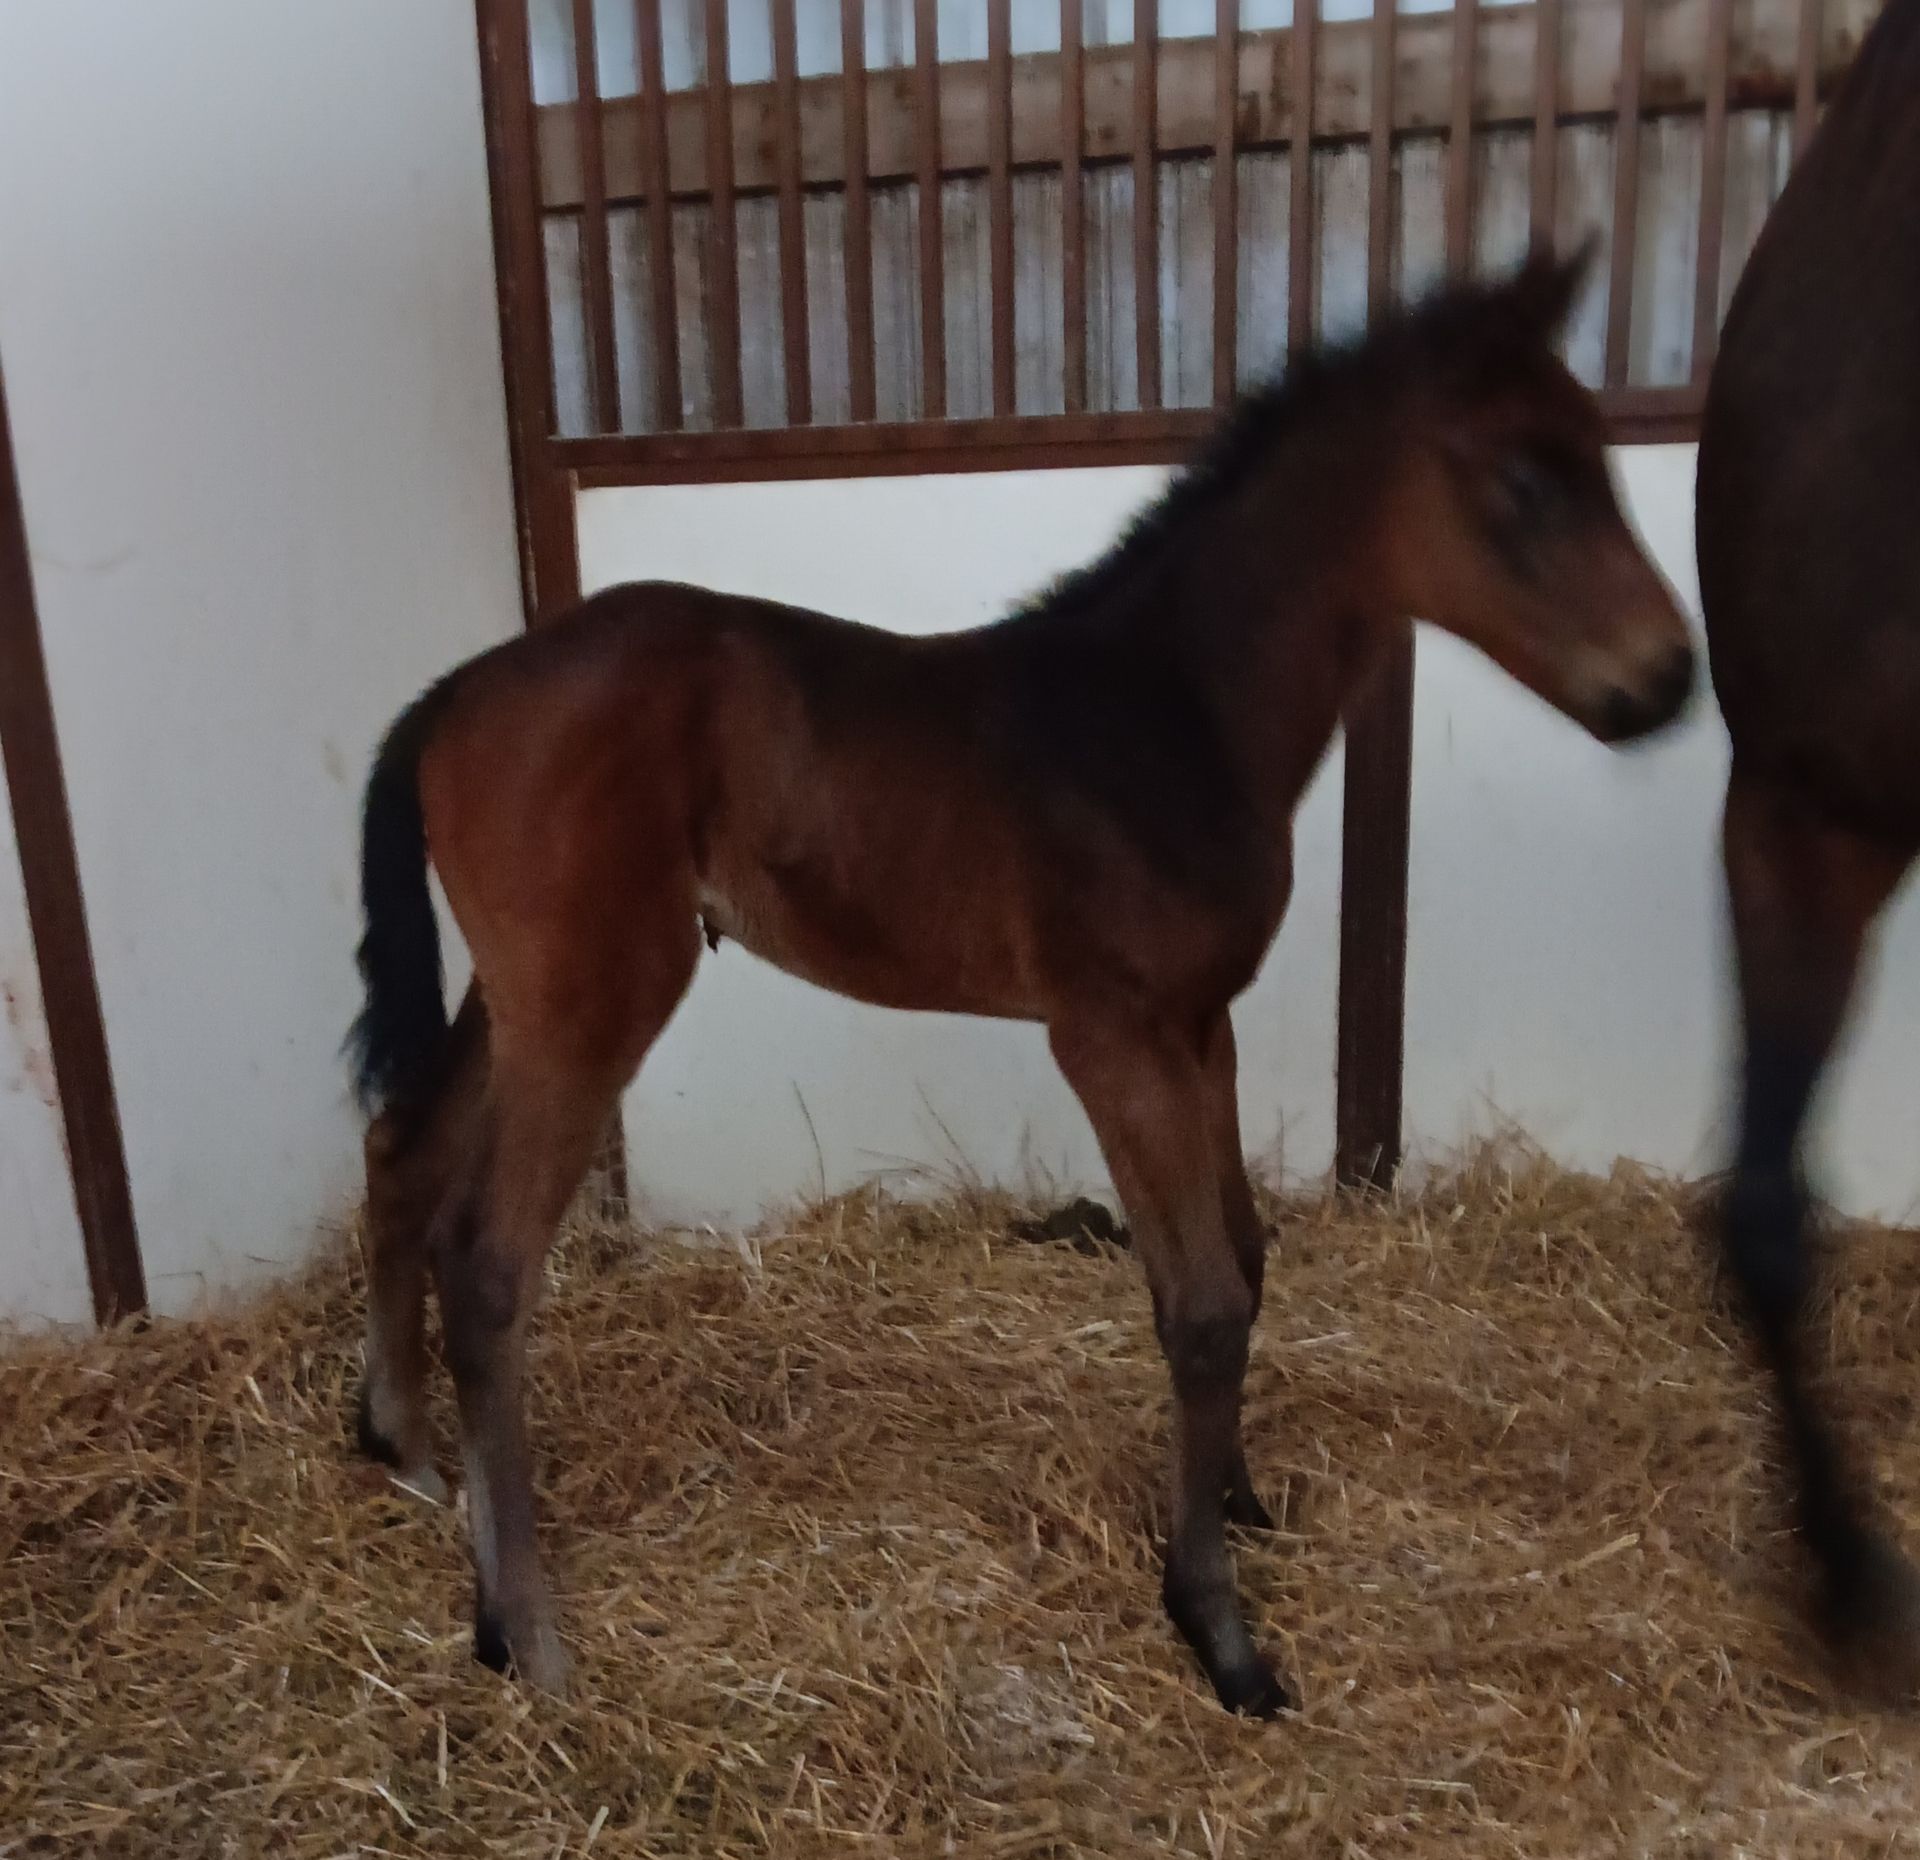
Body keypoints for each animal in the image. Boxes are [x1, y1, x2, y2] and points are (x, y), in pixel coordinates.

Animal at [348, 248, 1693, 1715]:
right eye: (1524, 479)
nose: (1669, 680)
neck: (1168, 718)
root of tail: (457, 692)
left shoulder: (1199, 1024)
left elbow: (1240, 1257)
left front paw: (1237, 1502)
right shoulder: (1110, 1036)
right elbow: (1201, 1307)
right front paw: (1217, 1630)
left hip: (520, 992)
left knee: (402, 1151)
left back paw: (404, 1456)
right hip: (593, 1003)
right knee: (485, 1262)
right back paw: (525, 1635)